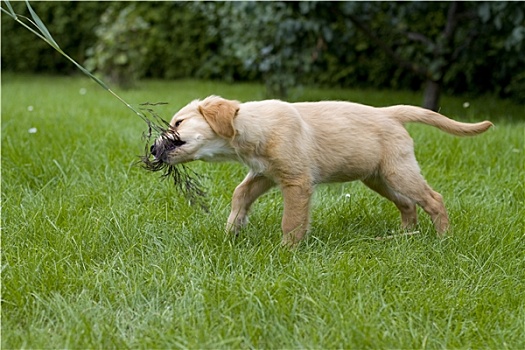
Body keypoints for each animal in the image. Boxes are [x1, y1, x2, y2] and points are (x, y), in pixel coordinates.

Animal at [150, 95, 492, 246]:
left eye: (178, 123)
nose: (152, 150)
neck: (252, 127)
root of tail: (389, 112)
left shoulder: (296, 181)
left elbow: (291, 221)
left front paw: (287, 251)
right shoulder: (265, 174)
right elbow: (241, 193)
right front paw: (232, 230)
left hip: (398, 171)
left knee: (434, 199)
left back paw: (444, 239)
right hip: (377, 177)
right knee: (408, 204)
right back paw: (405, 236)